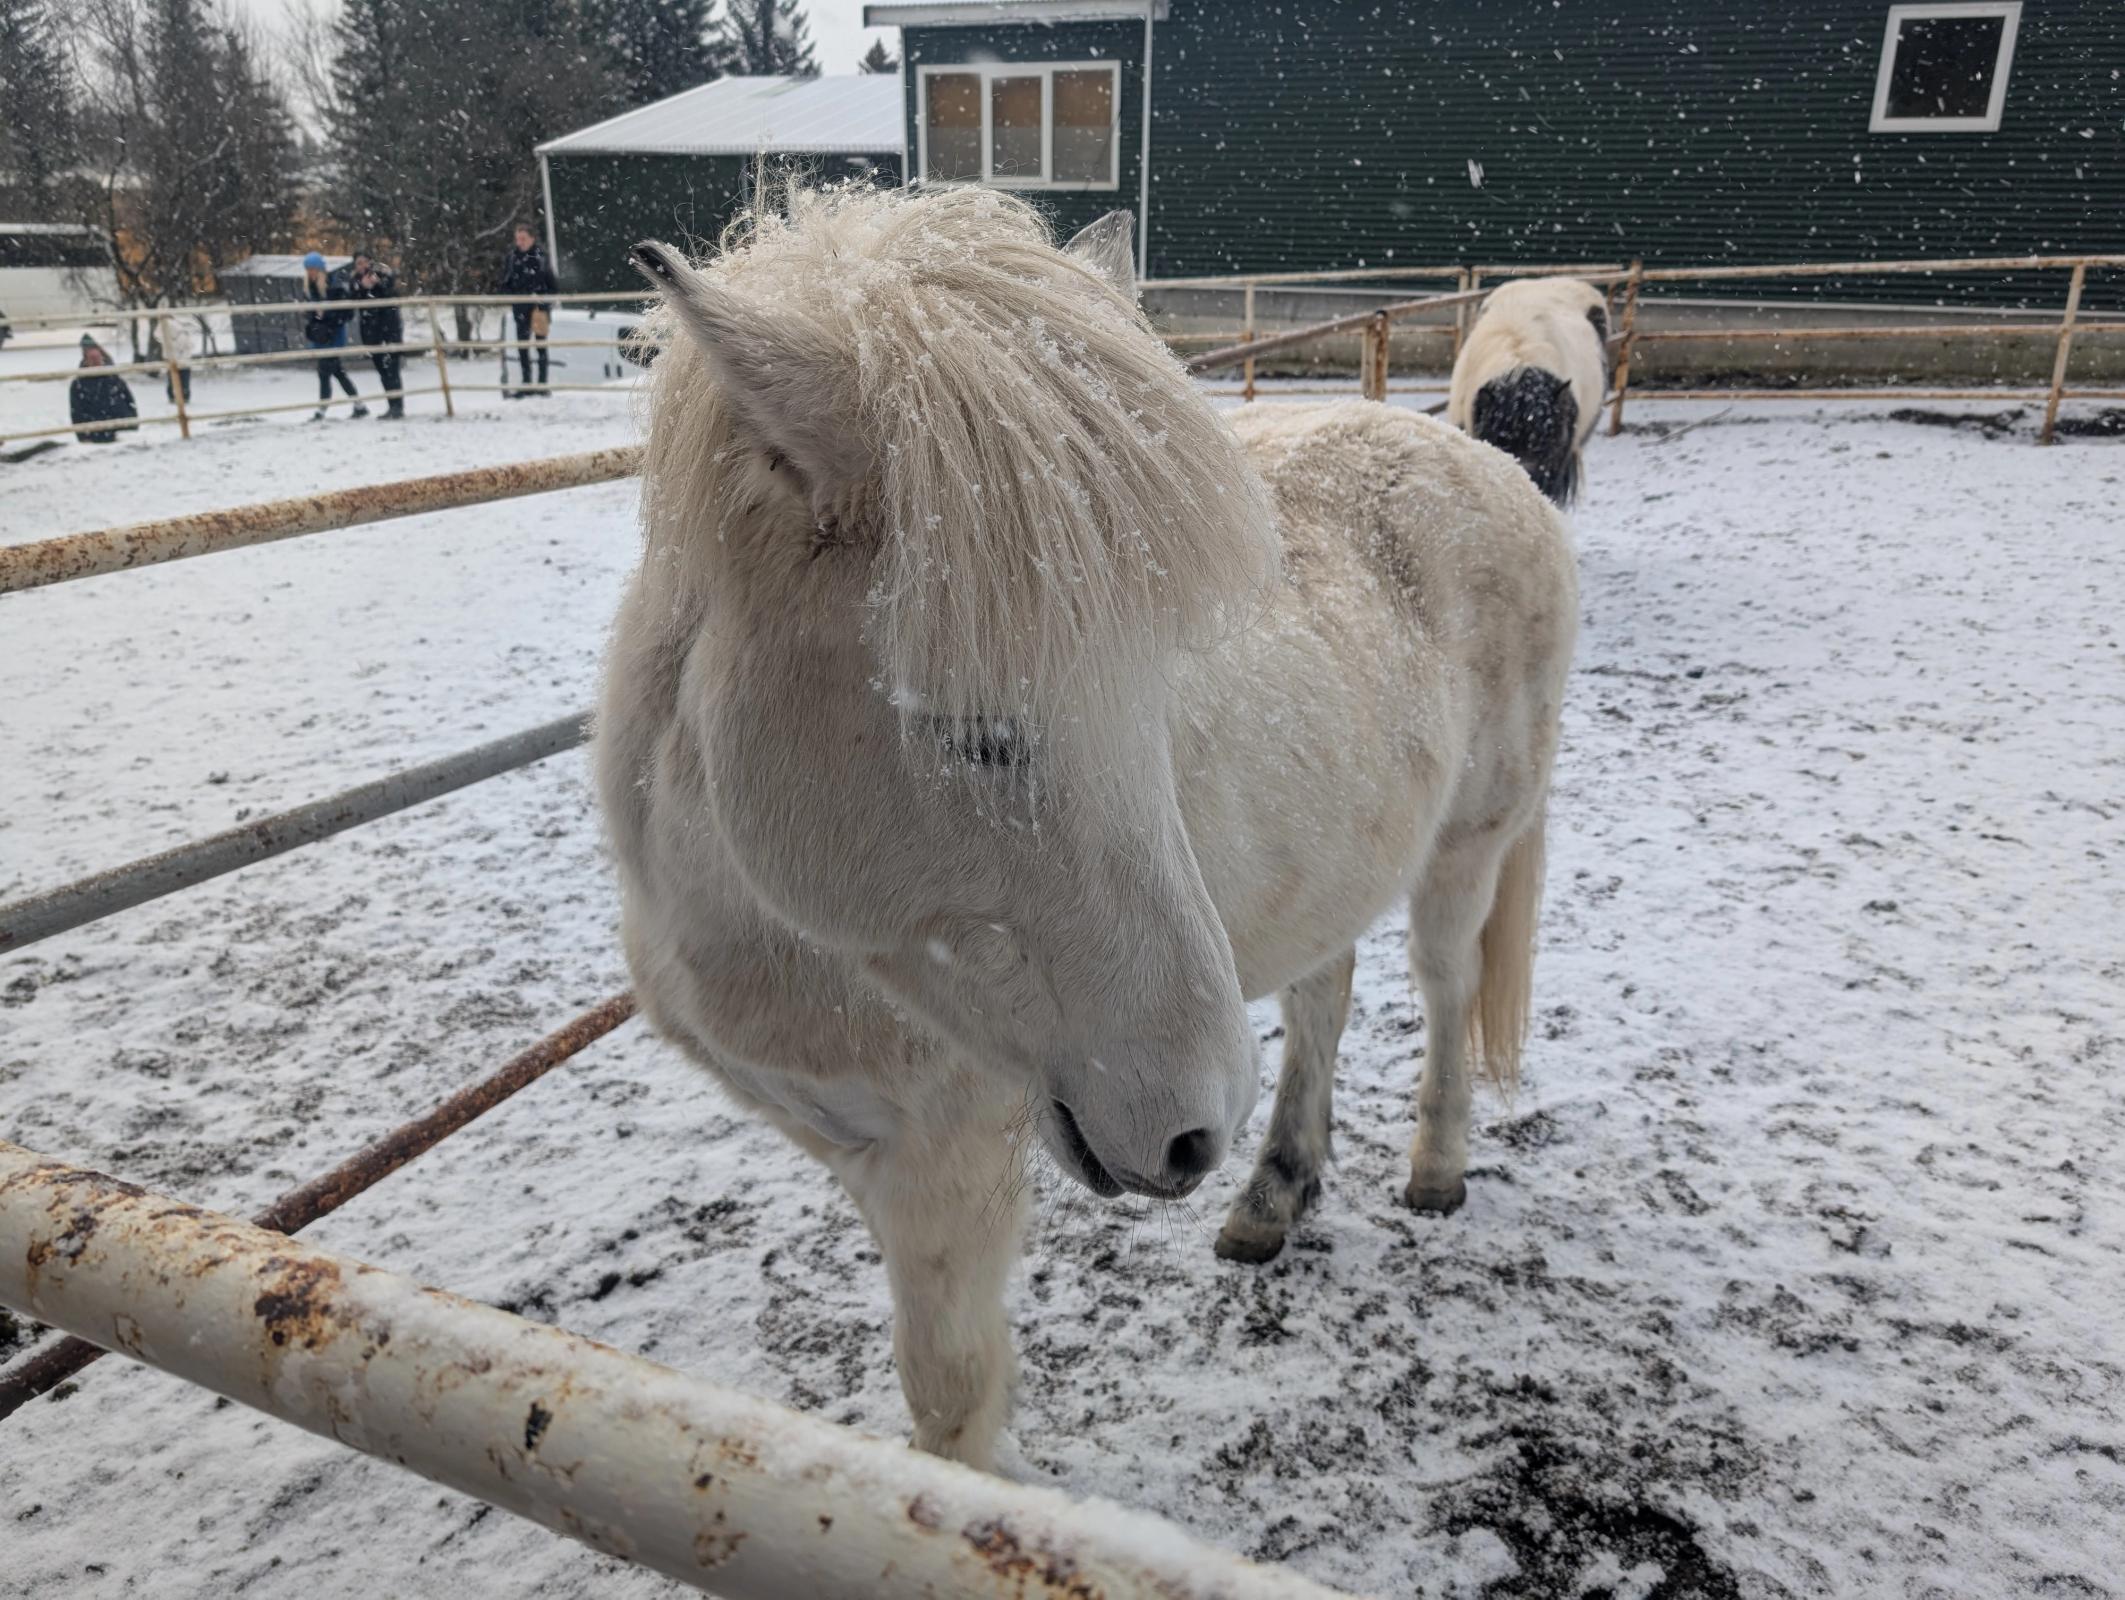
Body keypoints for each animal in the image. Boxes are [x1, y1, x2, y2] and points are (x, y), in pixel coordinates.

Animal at [597, 184, 1576, 1470]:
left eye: (1156, 686)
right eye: (969, 728)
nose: (1192, 1129)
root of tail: (1493, 465)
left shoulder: (945, 1167)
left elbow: (950, 1410)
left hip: (1466, 848)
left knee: (1446, 983)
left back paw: (1434, 1170)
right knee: (1325, 994)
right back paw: (1273, 1193)